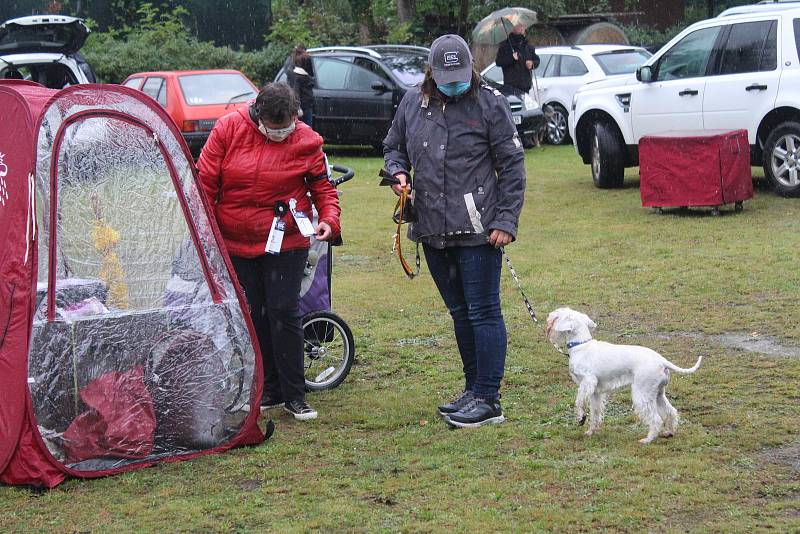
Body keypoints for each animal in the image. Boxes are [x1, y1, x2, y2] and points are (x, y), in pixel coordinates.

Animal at [544, 308, 700, 446]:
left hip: (642, 394)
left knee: (656, 419)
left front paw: (581, 418)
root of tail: (662, 361)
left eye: (558, 314)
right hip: (658, 394)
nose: (549, 317)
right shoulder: (595, 392)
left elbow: (579, 401)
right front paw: (590, 431)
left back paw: (647, 440)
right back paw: (669, 432)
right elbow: (595, 412)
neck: (581, 346)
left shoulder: (587, 382)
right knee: (671, 412)